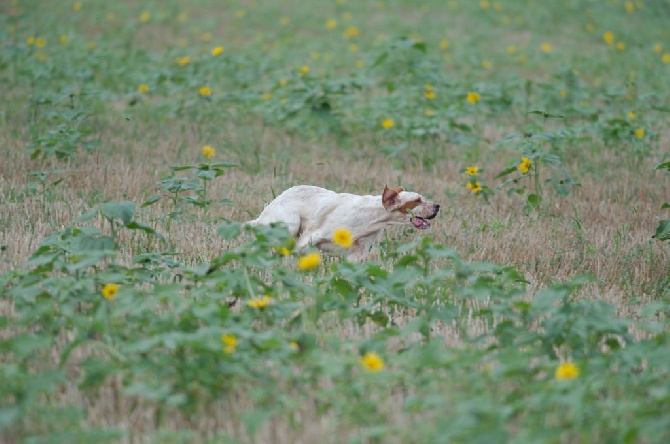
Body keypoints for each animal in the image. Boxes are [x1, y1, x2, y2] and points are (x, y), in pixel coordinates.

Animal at [248, 185, 440, 260]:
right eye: (417, 200)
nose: (438, 206)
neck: (371, 218)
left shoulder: (356, 253)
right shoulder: (310, 238)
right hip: (290, 225)